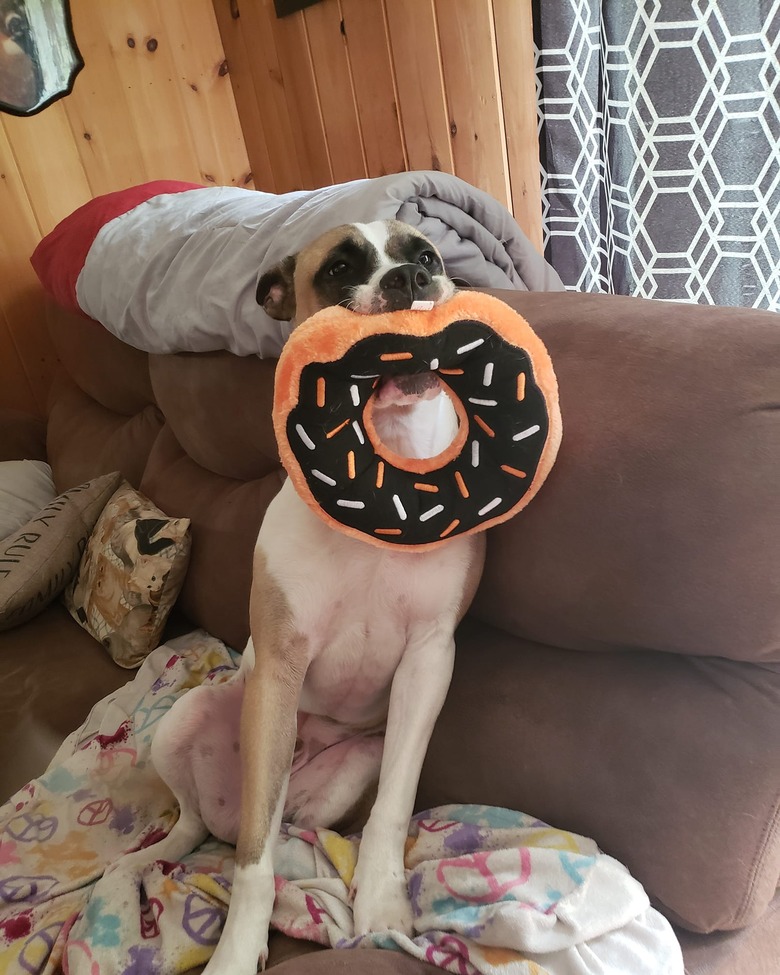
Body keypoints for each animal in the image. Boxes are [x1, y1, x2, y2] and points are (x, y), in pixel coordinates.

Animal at [109, 223, 488, 975]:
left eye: (426, 254)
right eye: (339, 268)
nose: (411, 278)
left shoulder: (429, 662)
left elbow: (392, 808)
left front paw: (382, 906)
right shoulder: (281, 669)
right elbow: (252, 868)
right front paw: (235, 951)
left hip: (341, 778)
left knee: (286, 824)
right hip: (187, 720)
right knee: (206, 826)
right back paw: (151, 858)